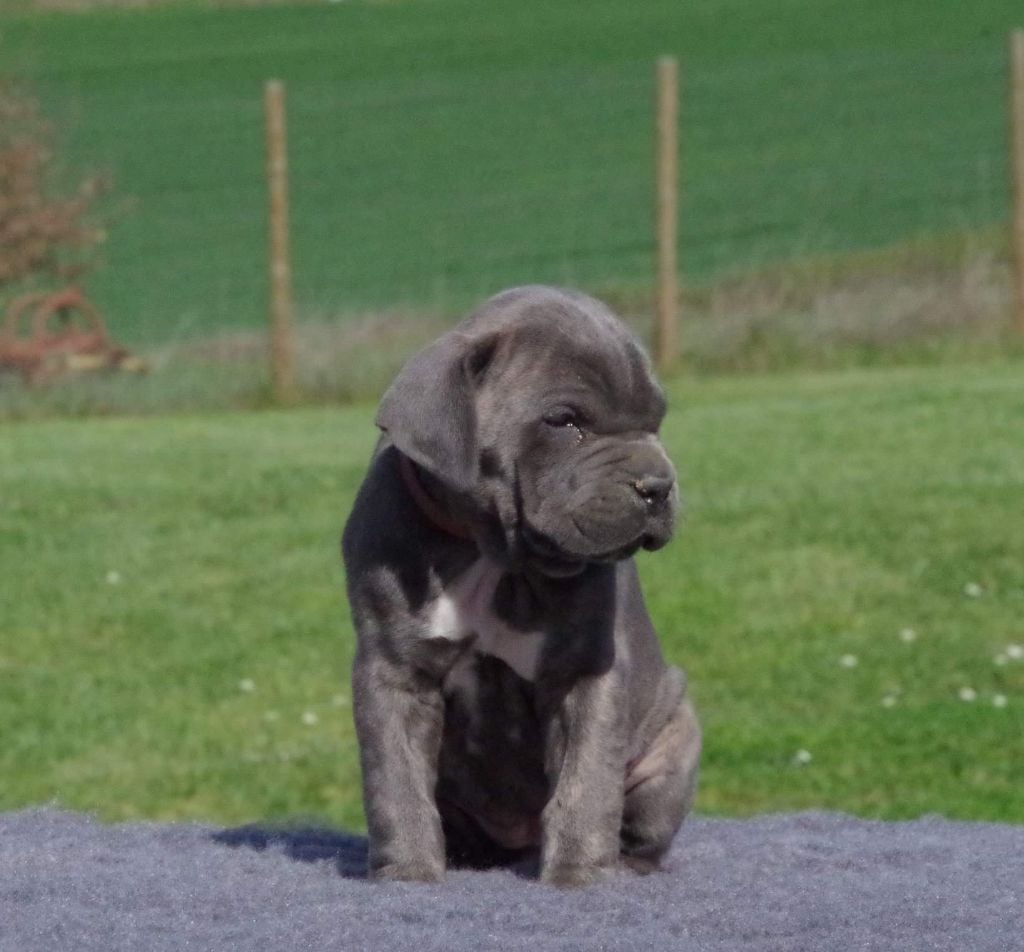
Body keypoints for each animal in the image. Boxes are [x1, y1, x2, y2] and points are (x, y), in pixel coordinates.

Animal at [342, 286, 700, 887]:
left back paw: (625, 865)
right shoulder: (393, 671)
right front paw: (408, 873)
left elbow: (585, 785)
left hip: (675, 736)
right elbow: (397, 782)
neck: (492, 555)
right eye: (564, 421)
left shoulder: (585, 671)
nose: (657, 485)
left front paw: (579, 873)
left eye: (657, 420)